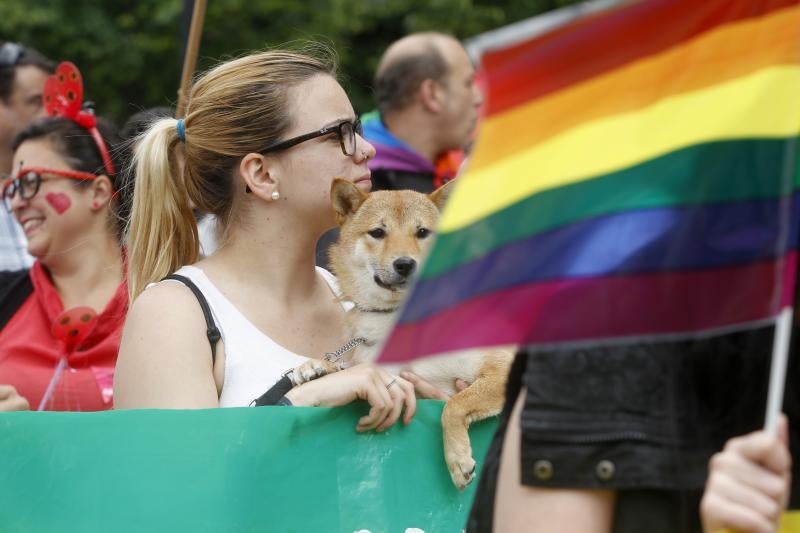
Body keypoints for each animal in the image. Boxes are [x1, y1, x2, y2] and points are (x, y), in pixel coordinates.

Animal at [294, 180, 512, 490]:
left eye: (422, 232)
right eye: (378, 232)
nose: (405, 264)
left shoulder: (500, 370)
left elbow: (454, 406)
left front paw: (456, 458)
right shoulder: (395, 377)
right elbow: (351, 368)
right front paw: (316, 366)